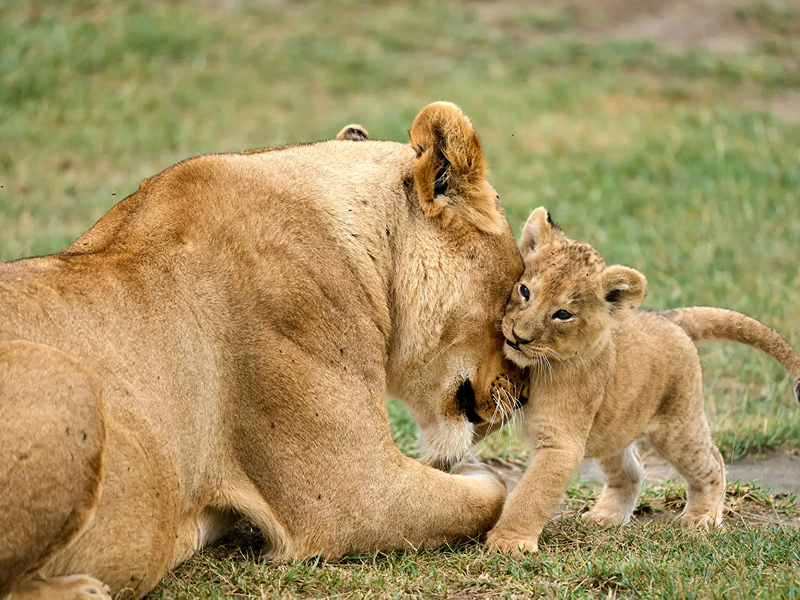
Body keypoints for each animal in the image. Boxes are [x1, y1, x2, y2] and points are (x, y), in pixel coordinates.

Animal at [0, 102, 527, 599]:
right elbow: (486, 497)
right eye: (520, 288)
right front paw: (484, 474)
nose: (523, 394)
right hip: (68, 376)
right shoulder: (354, 495)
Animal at [481, 207, 800, 554]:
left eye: (563, 314)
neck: (539, 366)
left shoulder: (561, 442)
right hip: (613, 428)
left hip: (678, 426)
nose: (518, 337)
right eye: (525, 291)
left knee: (712, 462)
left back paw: (702, 517)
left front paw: (509, 541)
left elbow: (533, 493)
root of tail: (668, 317)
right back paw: (607, 516)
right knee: (632, 470)